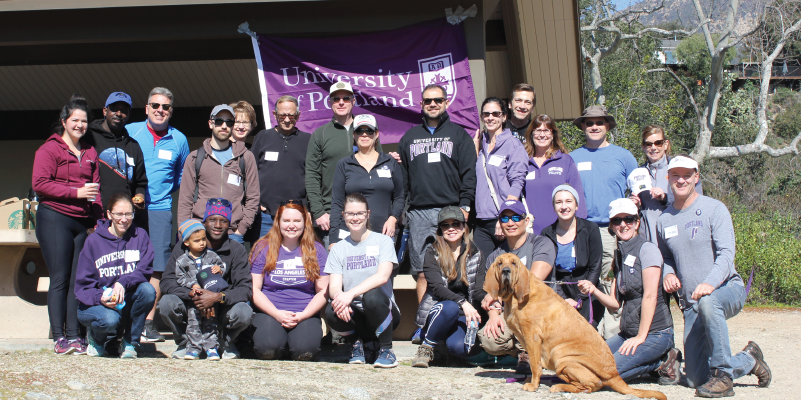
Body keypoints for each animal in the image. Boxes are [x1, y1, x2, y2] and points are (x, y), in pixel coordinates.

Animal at [484, 255, 664, 398]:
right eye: (499, 263)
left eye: (514, 263)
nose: (506, 271)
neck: (514, 297)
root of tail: (614, 374)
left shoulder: (532, 337)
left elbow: (535, 365)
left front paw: (533, 385)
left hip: (561, 357)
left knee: (590, 386)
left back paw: (558, 386)